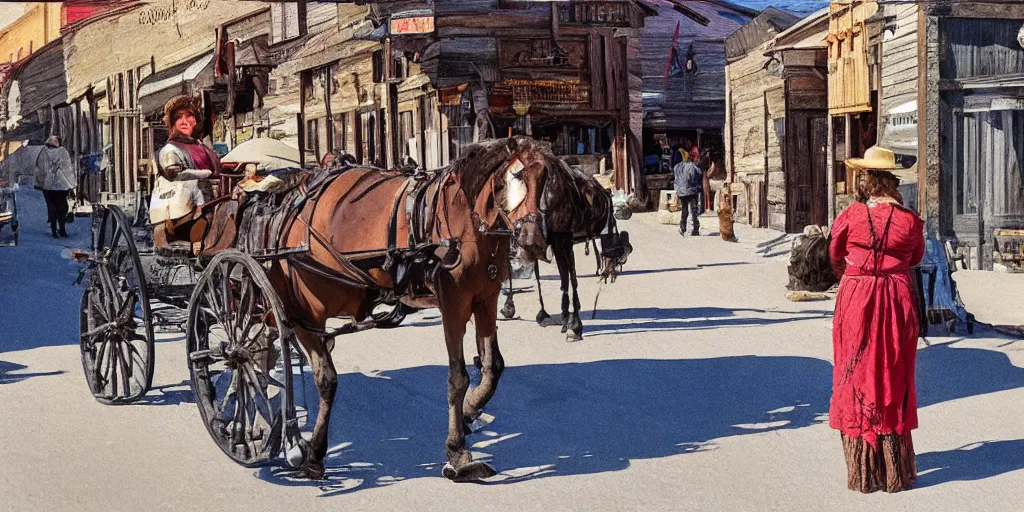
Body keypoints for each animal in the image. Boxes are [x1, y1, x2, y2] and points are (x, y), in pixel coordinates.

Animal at [198, 135, 552, 479]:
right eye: (515, 176)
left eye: (545, 178)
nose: (533, 240)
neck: (462, 220)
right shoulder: (453, 302)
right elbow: (457, 378)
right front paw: (457, 451)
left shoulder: (485, 299)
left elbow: (492, 368)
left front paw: (470, 411)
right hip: (302, 309)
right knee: (320, 376)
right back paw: (302, 448)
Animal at [499, 154, 626, 339]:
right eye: (525, 180)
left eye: (544, 178)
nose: (528, 237)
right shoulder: (556, 242)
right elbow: (564, 278)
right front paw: (566, 317)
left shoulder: (564, 241)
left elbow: (570, 278)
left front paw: (575, 324)